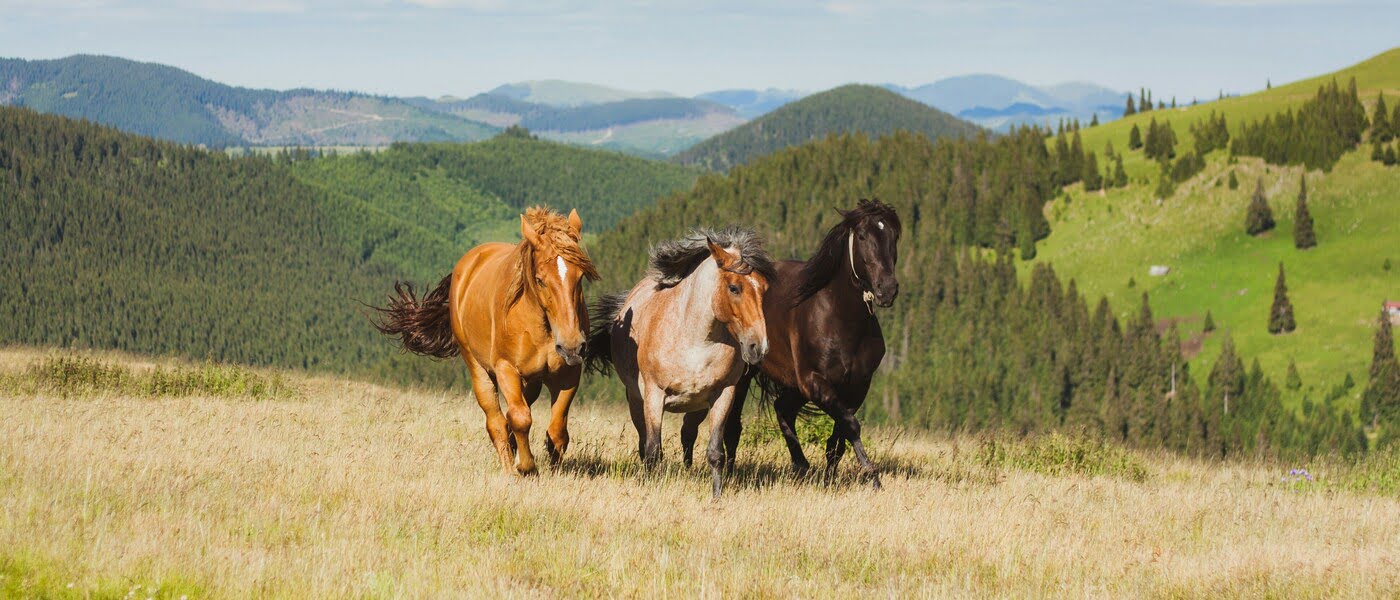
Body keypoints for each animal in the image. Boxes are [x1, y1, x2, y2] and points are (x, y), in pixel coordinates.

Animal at [371, 207, 600, 475]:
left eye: (580, 276)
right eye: (541, 279)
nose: (572, 345)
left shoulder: (568, 375)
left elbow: (557, 431)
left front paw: (554, 469)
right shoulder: (505, 369)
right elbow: (520, 418)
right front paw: (526, 467)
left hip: (531, 381)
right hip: (478, 368)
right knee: (497, 421)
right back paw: (509, 466)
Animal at [584, 227, 774, 499]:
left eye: (764, 288)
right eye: (734, 288)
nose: (758, 347)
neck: (695, 341)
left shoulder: (723, 395)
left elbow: (715, 451)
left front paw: (717, 495)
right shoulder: (654, 396)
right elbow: (653, 450)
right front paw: (650, 489)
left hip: (697, 407)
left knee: (688, 433)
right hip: (636, 401)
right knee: (645, 441)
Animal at [681, 199, 901, 489]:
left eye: (894, 236)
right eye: (863, 236)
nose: (887, 289)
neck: (840, 319)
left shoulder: (856, 387)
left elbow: (839, 437)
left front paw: (831, 478)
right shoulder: (814, 382)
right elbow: (851, 425)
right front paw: (872, 476)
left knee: (782, 410)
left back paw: (800, 465)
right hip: (745, 377)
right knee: (734, 427)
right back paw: (727, 472)